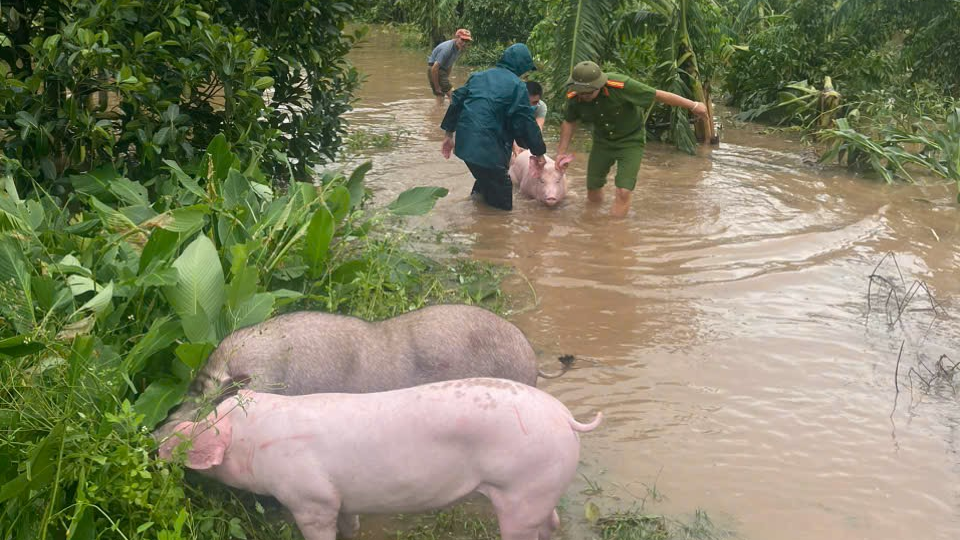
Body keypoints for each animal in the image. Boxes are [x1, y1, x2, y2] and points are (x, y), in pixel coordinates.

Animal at [161, 378, 604, 540]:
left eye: (209, 423)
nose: (160, 440)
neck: (257, 440)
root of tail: (565, 418)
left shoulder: (310, 498)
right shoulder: (339, 498)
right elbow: (350, 522)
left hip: (523, 489)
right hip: (538, 492)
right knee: (552, 522)